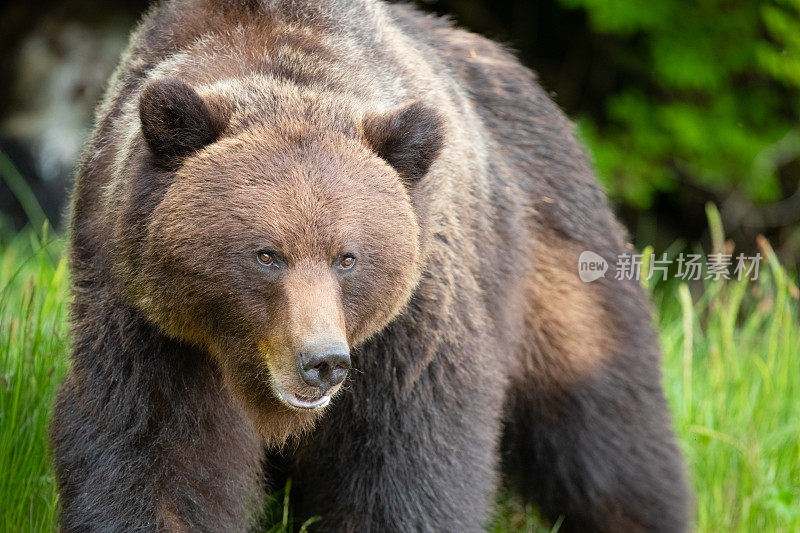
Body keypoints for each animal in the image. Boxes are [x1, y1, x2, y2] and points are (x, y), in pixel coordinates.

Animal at [51, 1, 688, 532]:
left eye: (348, 257)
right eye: (265, 253)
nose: (323, 362)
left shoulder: (411, 326)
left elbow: (406, 465)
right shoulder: (153, 327)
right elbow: (156, 455)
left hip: (555, 260)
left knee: (608, 438)